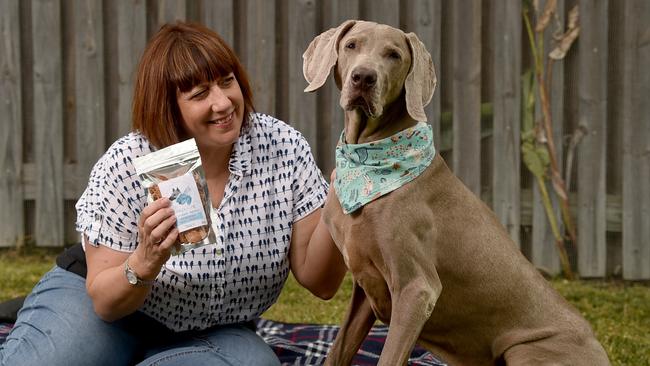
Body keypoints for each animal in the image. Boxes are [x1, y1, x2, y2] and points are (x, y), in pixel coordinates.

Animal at [302, 20, 612, 366]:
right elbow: (337, 351)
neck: (369, 160)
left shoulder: (417, 290)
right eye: (351, 45)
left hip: (525, 349)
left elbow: (389, 356)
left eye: (393, 55)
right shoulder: (365, 288)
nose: (364, 77)